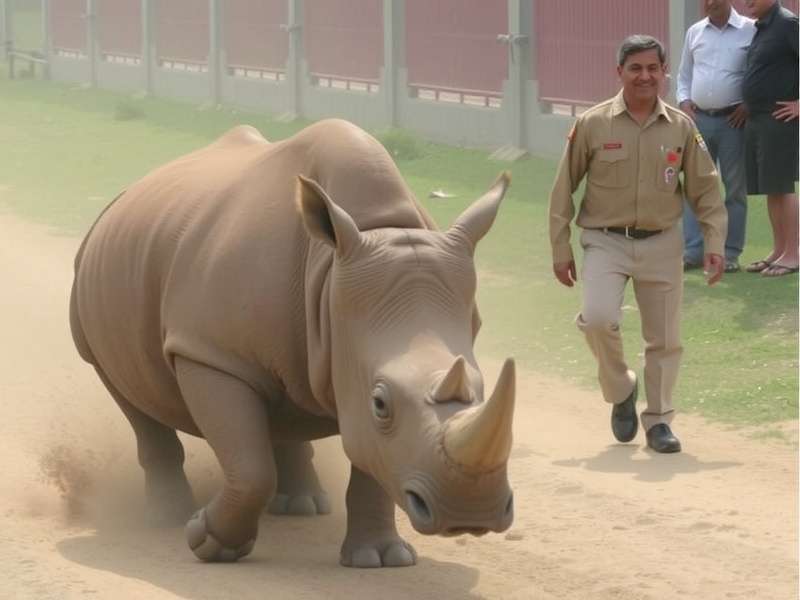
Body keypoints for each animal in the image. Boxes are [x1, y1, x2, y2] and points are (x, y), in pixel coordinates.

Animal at [70, 119, 515, 567]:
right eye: (380, 403)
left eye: (481, 388)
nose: (468, 515)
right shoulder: (210, 352)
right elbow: (252, 468)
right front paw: (207, 541)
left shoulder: (357, 350)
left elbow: (370, 455)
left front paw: (380, 559)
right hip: (92, 296)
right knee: (128, 394)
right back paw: (168, 517)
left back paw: (302, 507)